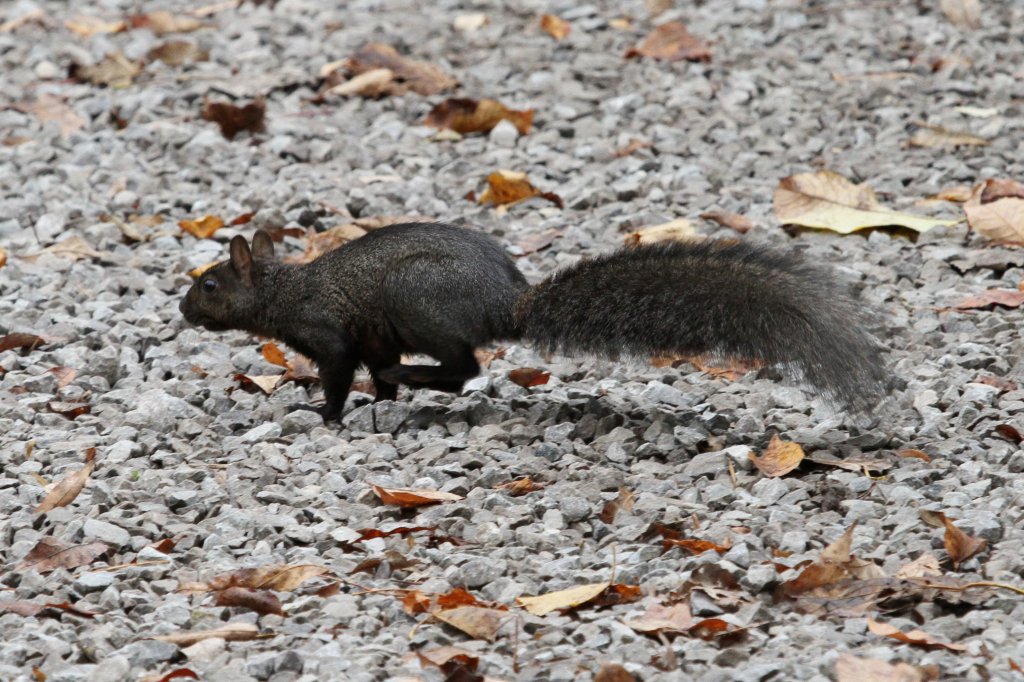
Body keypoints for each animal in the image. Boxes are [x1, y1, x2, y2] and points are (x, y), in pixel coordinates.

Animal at [180, 220, 884, 417]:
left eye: (210, 284)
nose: (181, 309)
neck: (287, 289)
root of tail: (504, 301)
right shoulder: (370, 336)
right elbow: (372, 375)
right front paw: (379, 406)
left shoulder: (329, 334)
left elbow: (337, 374)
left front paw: (325, 414)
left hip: (418, 301)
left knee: (464, 366)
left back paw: (418, 378)